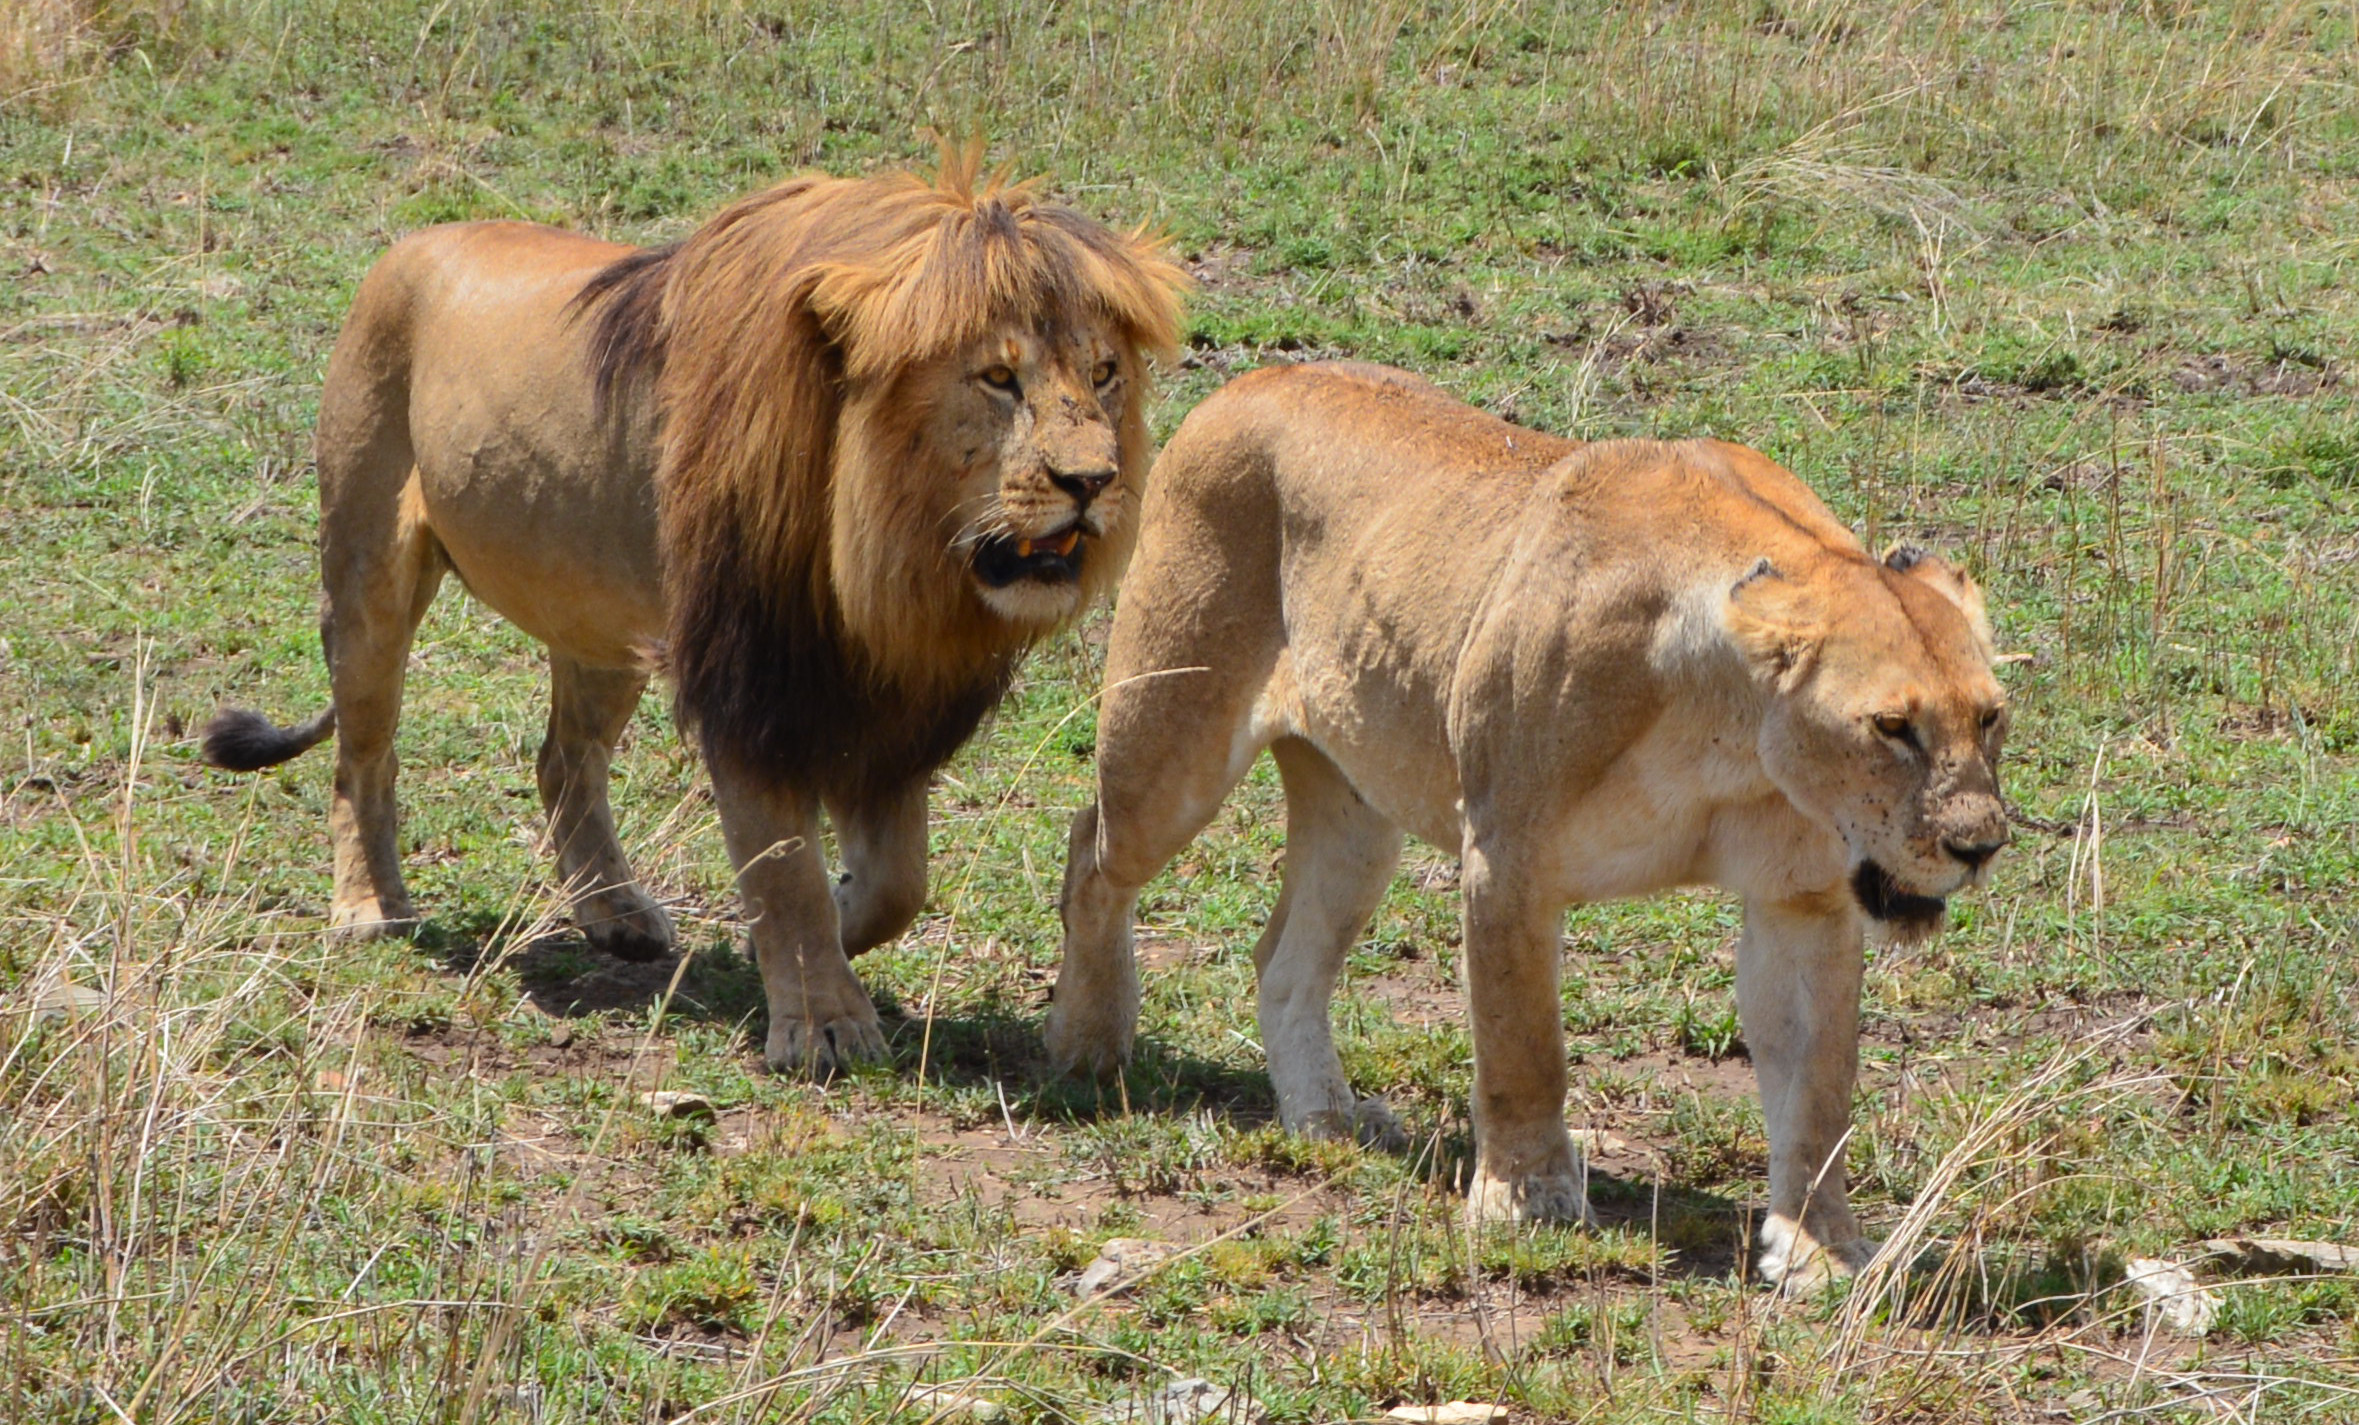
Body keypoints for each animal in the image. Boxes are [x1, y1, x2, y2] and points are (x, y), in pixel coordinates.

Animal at [201, 149, 1187, 1073]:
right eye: (996, 377)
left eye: (1103, 372)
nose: (1094, 480)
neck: (890, 554)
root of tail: (412, 243)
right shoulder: (744, 675)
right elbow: (783, 866)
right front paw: (824, 1023)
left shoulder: (883, 696)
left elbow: (897, 881)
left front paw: (814, 931)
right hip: (367, 566)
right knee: (364, 756)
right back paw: (371, 907)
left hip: (599, 620)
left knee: (564, 759)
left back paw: (614, 912)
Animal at [1044, 362, 2009, 1288]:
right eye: (1890, 726)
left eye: (1990, 715)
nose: (1980, 844)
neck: (1731, 729)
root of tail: (1252, 378)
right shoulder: (1506, 858)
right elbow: (1522, 1045)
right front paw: (1526, 1199)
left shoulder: (1802, 898)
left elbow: (1818, 1089)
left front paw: (1821, 1247)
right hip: (1169, 743)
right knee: (1091, 855)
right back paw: (1088, 1045)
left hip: (1358, 812)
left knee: (1283, 957)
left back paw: (1325, 1117)